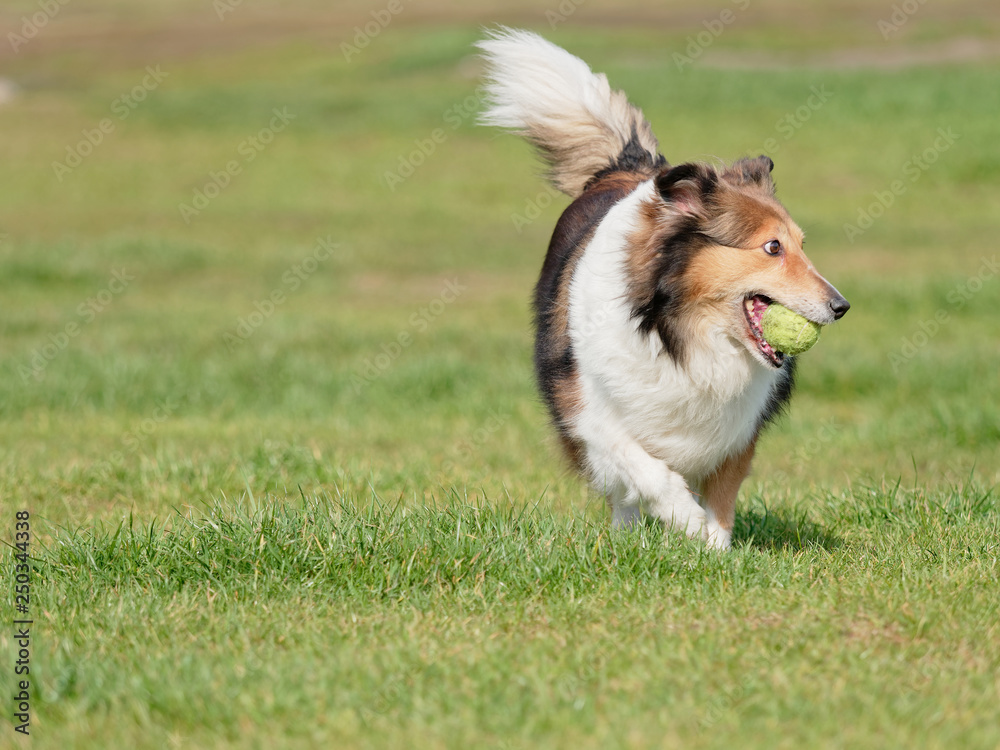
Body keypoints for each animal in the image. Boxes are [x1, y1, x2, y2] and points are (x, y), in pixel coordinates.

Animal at [476, 27, 844, 552]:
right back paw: (628, 538)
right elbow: (647, 472)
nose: (841, 306)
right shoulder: (588, 411)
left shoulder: (737, 429)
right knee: (624, 493)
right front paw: (685, 520)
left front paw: (715, 550)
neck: (685, 336)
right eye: (773, 247)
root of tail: (626, 165)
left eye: (801, 245)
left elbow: (722, 499)